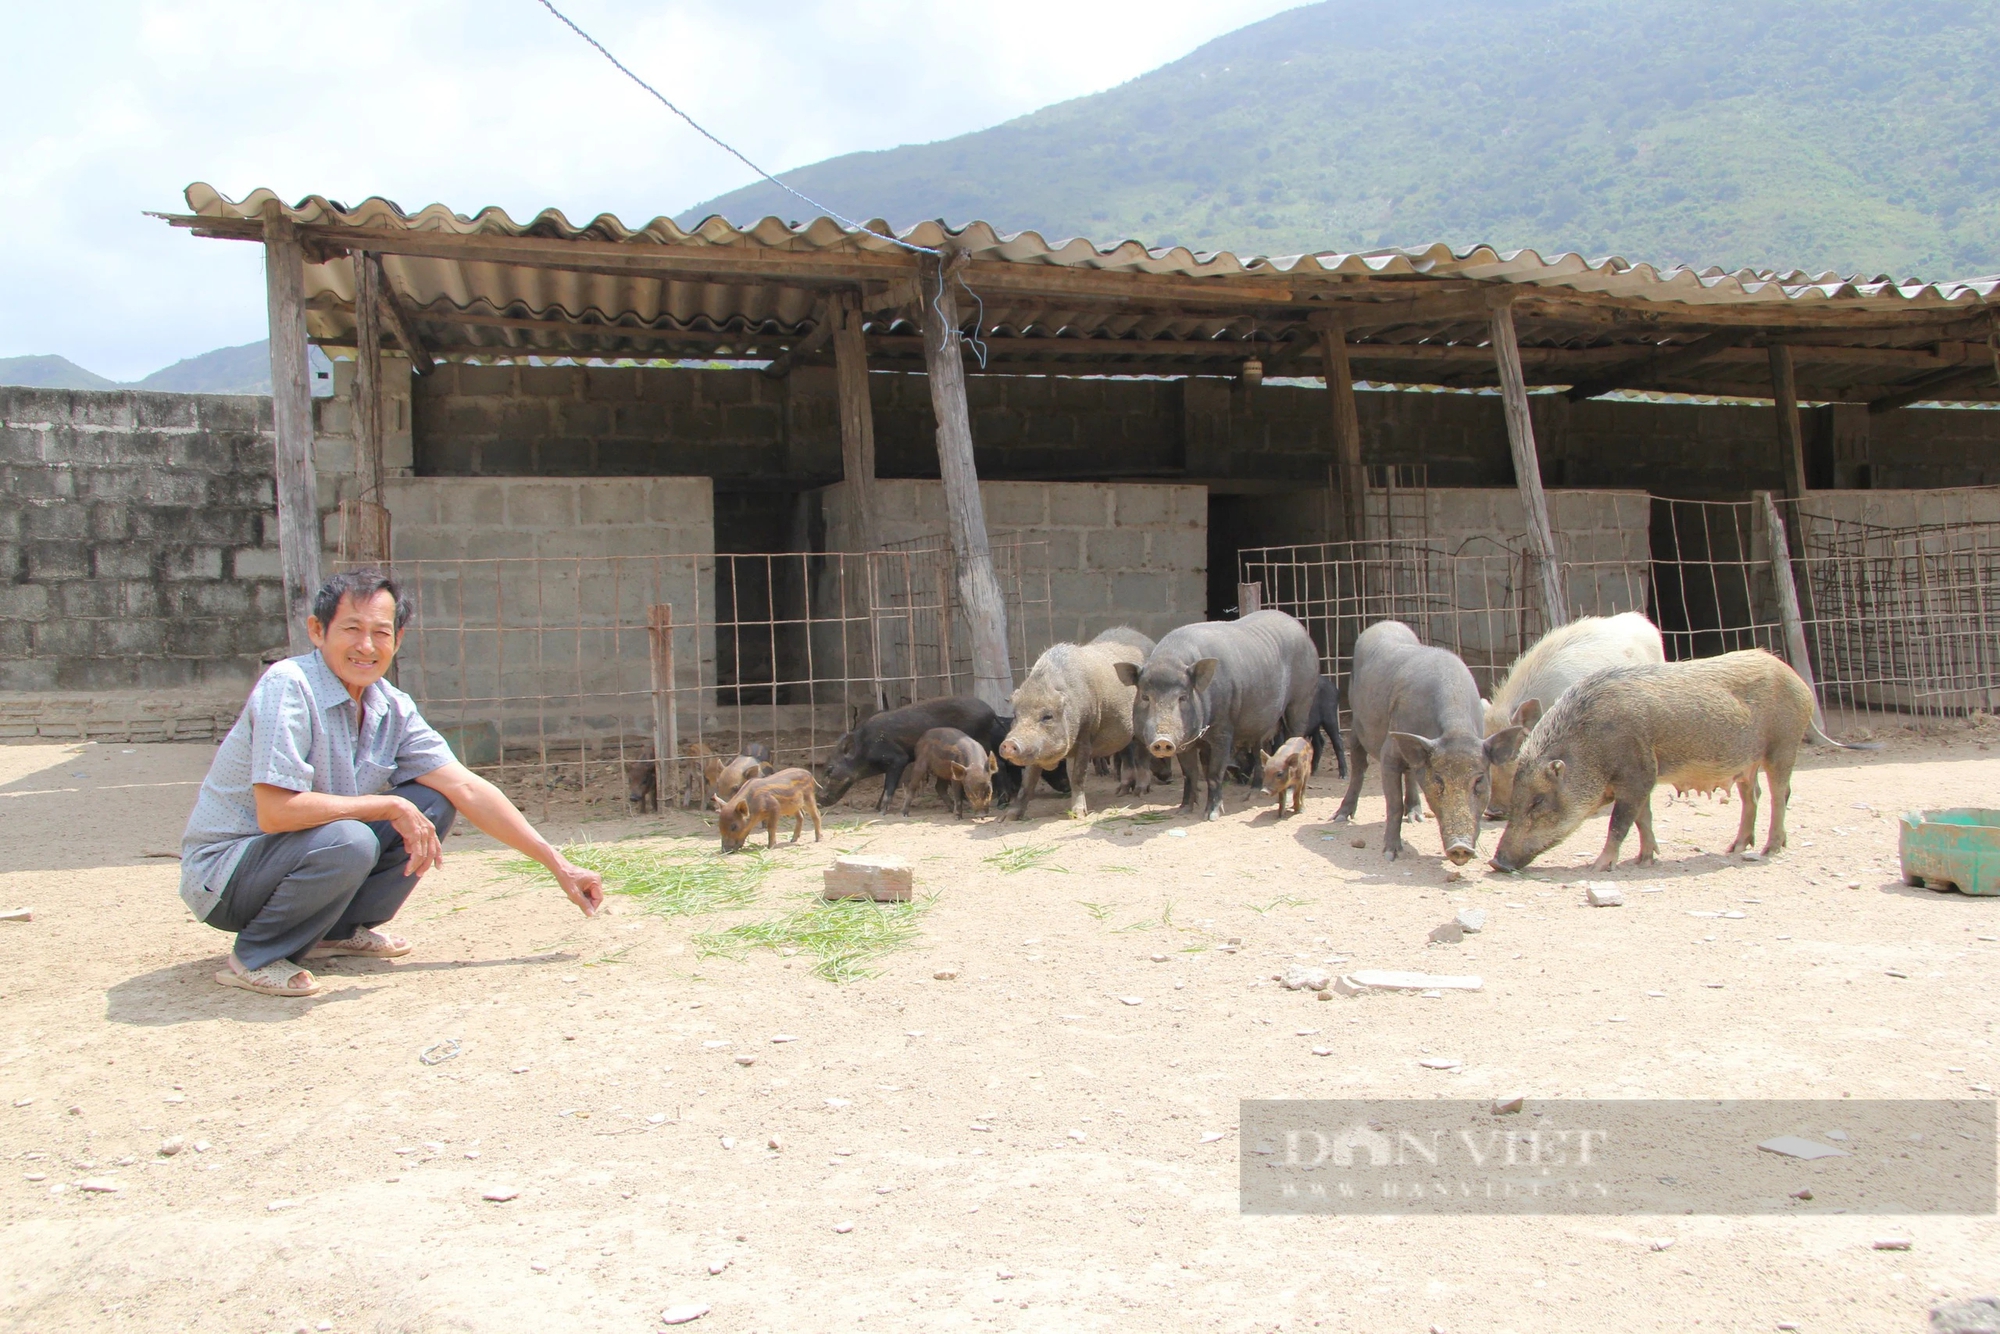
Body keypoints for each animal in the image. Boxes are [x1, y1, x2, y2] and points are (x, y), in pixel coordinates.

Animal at [1008, 628, 1152, 824]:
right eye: (1015, 715)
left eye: (1047, 716)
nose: (1009, 744)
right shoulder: (1035, 750)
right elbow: (1027, 781)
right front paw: (1008, 818)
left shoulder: (1086, 733)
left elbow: (1077, 775)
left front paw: (1078, 815)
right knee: (1127, 753)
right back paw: (1120, 793)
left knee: (1143, 754)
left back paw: (1141, 793)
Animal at [1120, 612, 1320, 820]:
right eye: (1145, 696)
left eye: (1183, 697)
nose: (1162, 740)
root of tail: (1301, 629)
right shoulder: (1184, 742)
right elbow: (1189, 773)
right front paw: (1183, 810)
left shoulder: (1223, 730)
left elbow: (1214, 774)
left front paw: (1211, 815)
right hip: (1260, 725)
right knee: (1260, 753)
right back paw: (1251, 796)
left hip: (1302, 700)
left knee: (1294, 738)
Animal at [1328, 624, 1528, 868]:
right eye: (1438, 779)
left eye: (1479, 780)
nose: (1460, 847)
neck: (1456, 731)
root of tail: (1382, 624)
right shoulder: (1389, 753)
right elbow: (1393, 804)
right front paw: (1391, 854)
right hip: (1357, 724)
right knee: (1359, 766)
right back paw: (1340, 817)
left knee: (1410, 773)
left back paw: (1416, 817)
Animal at [1504, 648, 1872, 876]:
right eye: (1515, 800)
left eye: (1537, 802)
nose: (1497, 862)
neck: (1590, 747)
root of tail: (1800, 682)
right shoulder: (1645, 777)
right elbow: (1644, 819)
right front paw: (1644, 860)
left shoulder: (1637, 774)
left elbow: (1620, 823)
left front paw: (1599, 867)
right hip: (1746, 764)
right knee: (1752, 797)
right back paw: (1734, 847)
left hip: (1783, 747)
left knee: (1781, 795)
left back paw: (1769, 850)